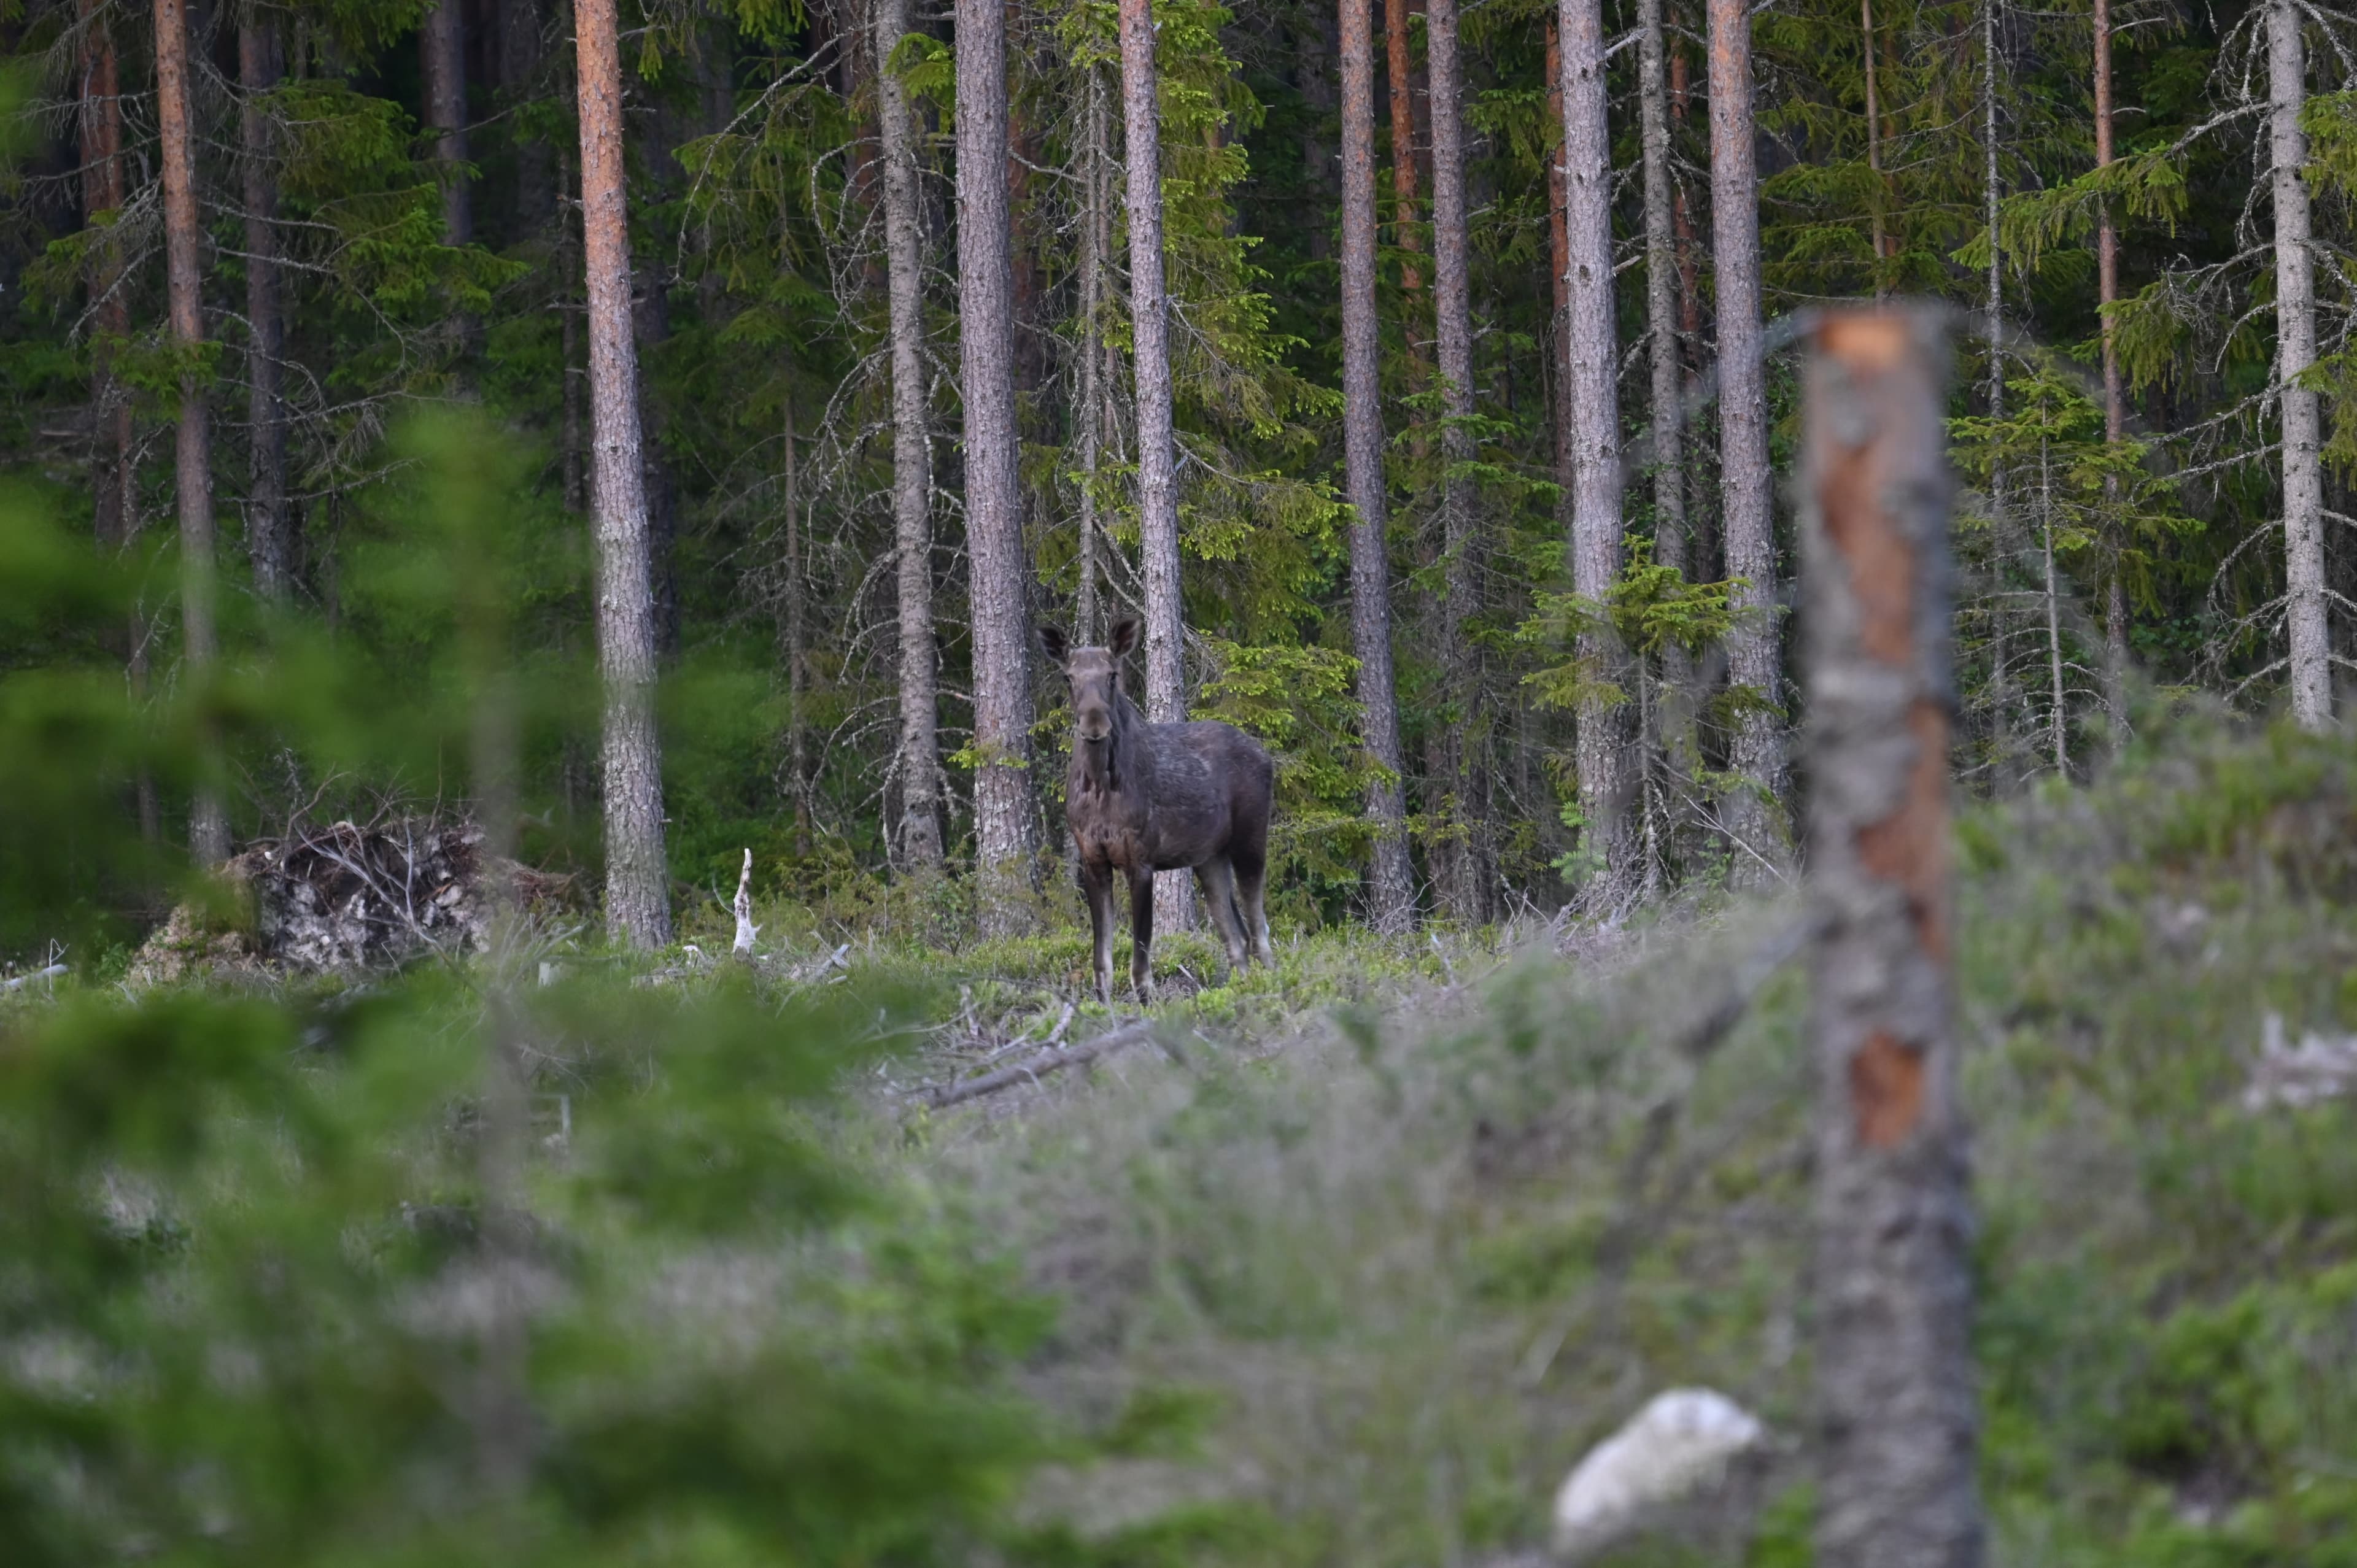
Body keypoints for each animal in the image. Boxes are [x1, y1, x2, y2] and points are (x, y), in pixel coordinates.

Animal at [1040, 619, 1277, 1004]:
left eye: (1113, 675)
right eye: (1068, 677)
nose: (1094, 726)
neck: (1100, 788)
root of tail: (1266, 756)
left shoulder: (1141, 859)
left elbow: (1141, 958)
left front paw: (1147, 1003)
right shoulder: (1093, 859)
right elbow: (1101, 960)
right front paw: (1103, 1006)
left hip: (1250, 841)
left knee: (1260, 934)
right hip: (1209, 858)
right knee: (1236, 938)